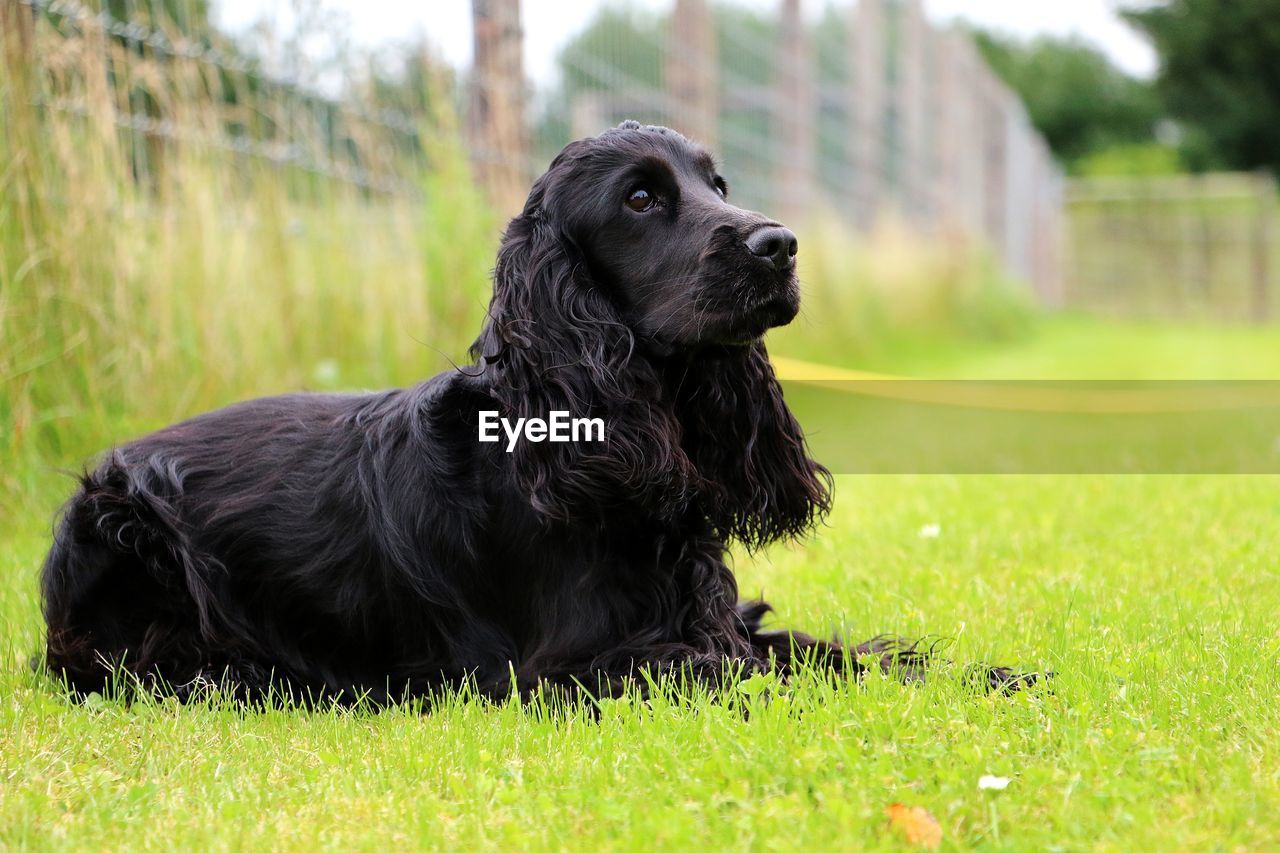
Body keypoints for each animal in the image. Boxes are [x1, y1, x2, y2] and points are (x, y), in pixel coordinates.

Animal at [37, 121, 998, 701]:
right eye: (640, 199)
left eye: (717, 183)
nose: (781, 245)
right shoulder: (571, 668)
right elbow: (756, 672)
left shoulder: (705, 614)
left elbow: (819, 650)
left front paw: (985, 673)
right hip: (124, 533)